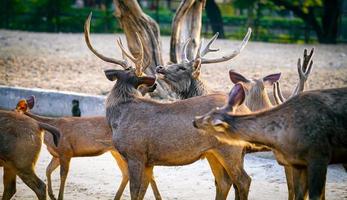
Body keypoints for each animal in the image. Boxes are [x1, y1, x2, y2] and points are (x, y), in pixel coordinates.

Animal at [15, 95, 163, 200]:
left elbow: (63, 175)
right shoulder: (57, 154)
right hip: (116, 152)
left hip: (127, 152)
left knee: (142, 174)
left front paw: (59, 197)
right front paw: (52, 195)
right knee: (134, 174)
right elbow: (48, 170)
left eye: (14, 111)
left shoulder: (65, 151)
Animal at [85, 13, 260, 199]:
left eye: (182, 68)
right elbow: (142, 191)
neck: (118, 118)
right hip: (215, 152)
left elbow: (135, 191)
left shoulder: (135, 154)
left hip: (230, 149)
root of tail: (245, 109)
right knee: (225, 182)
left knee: (243, 181)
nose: (159, 70)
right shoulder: (148, 160)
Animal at [193, 83, 347, 200]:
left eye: (209, 121)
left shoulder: (319, 156)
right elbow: (299, 194)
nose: (195, 120)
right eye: (211, 111)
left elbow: (314, 195)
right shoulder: (298, 163)